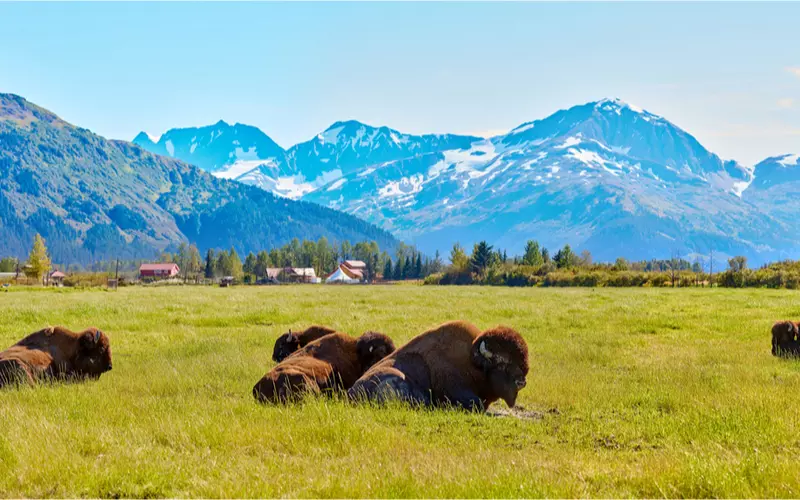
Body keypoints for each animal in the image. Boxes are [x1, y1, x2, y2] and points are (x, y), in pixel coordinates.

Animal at [346, 320, 528, 410]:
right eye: (504, 364)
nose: (521, 382)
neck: (472, 363)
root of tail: (351, 392)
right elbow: (476, 404)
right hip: (396, 376)